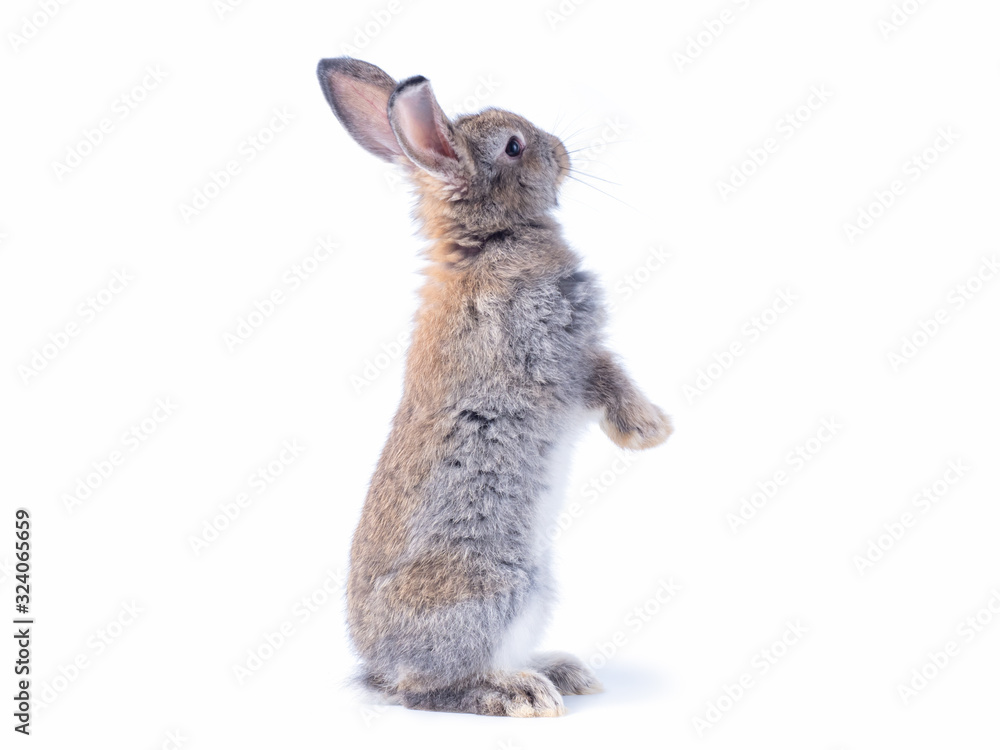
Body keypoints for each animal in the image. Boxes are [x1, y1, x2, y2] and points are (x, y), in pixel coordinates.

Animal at [317, 57, 673, 717]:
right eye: (513, 146)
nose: (561, 151)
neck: (488, 241)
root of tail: (378, 665)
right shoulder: (559, 354)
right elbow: (608, 377)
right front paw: (652, 432)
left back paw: (560, 672)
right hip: (496, 587)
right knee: (428, 689)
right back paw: (522, 694)